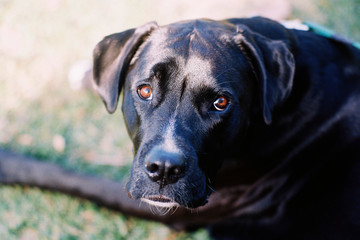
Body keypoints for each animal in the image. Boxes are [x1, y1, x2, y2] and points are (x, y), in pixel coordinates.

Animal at [0, 16, 360, 238]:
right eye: (144, 90)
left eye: (220, 103)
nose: (164, 169)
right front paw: (87, 75)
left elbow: (69, 177)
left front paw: (10, 163)